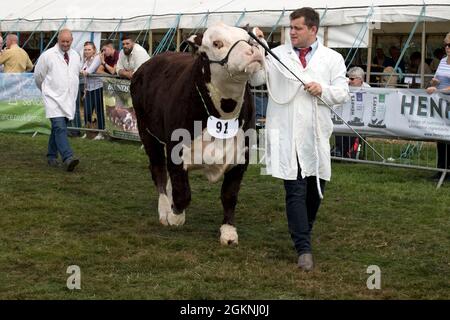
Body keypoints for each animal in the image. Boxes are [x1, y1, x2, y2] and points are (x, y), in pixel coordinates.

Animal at [130, 23, 262, 245]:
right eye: (217, 43)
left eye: (250, 39)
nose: (254, 51)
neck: (224, 113)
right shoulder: (176, 150)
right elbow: (183, 193)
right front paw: (175, 216)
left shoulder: (241, 156)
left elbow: (229, 195)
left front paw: (228, 232)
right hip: (147, 132)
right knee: (158, 170)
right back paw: (164, 210)